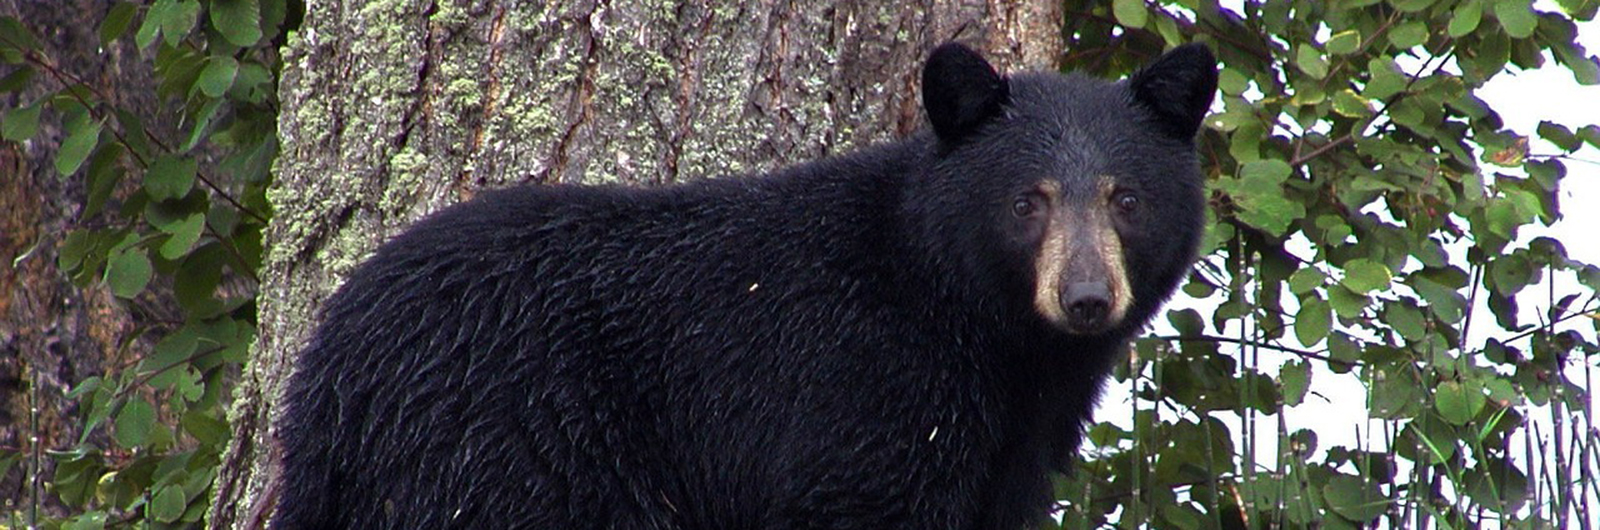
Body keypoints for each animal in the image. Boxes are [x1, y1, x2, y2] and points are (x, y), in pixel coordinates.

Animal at [275, 42, 1216, 530]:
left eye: (1127, 198)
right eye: (1029, 201)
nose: (1086, 298)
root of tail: (326, 369)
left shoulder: (1013, 447)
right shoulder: (861, 394)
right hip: (495, 445)